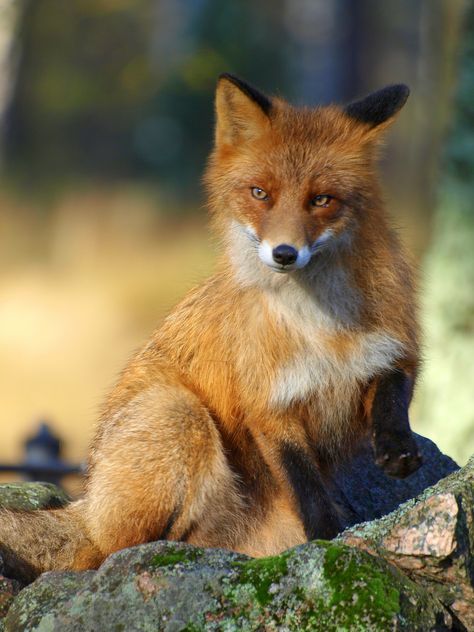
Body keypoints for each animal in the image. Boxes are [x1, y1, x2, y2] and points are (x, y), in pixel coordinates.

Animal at [0, 75, 422, 584]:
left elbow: (392, 394)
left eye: (322, 200)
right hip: (177, 413)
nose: (284, 254)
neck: (321, 328)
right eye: (260, 193)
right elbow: (307, 488)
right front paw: (328, 541)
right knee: (112, 553)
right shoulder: (268, 405)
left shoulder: (390, 350)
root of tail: (87, 501)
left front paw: (397, 449)